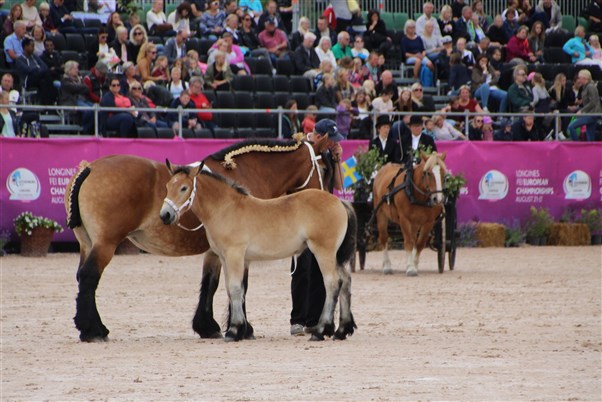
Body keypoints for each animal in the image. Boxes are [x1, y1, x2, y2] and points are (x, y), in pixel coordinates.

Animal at [65, 137, 332, 340]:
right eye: (325, 169)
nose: (328, 196)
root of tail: (90, 168)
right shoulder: (238, 251)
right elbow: (238, 286)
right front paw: (242, 328)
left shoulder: (217, 251)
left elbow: (210, 283)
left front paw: (208, 326)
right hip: (105, 244)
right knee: (89, 278)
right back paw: (94, 331)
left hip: (88, 244)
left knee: (81, 277)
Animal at [159, 161, 356, 342]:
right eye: (167, 186)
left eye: (184, 188)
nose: (165, 215)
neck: (226, 209)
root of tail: (339, 201)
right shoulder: (225, 258)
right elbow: (233, 290)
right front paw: (241, 330)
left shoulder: (235, 255)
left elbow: (235, 289)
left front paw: (233, 331)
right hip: (335, 256)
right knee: (345, 281)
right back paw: (341, 331)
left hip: (324, 252)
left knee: (332, 284)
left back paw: (320, 331)